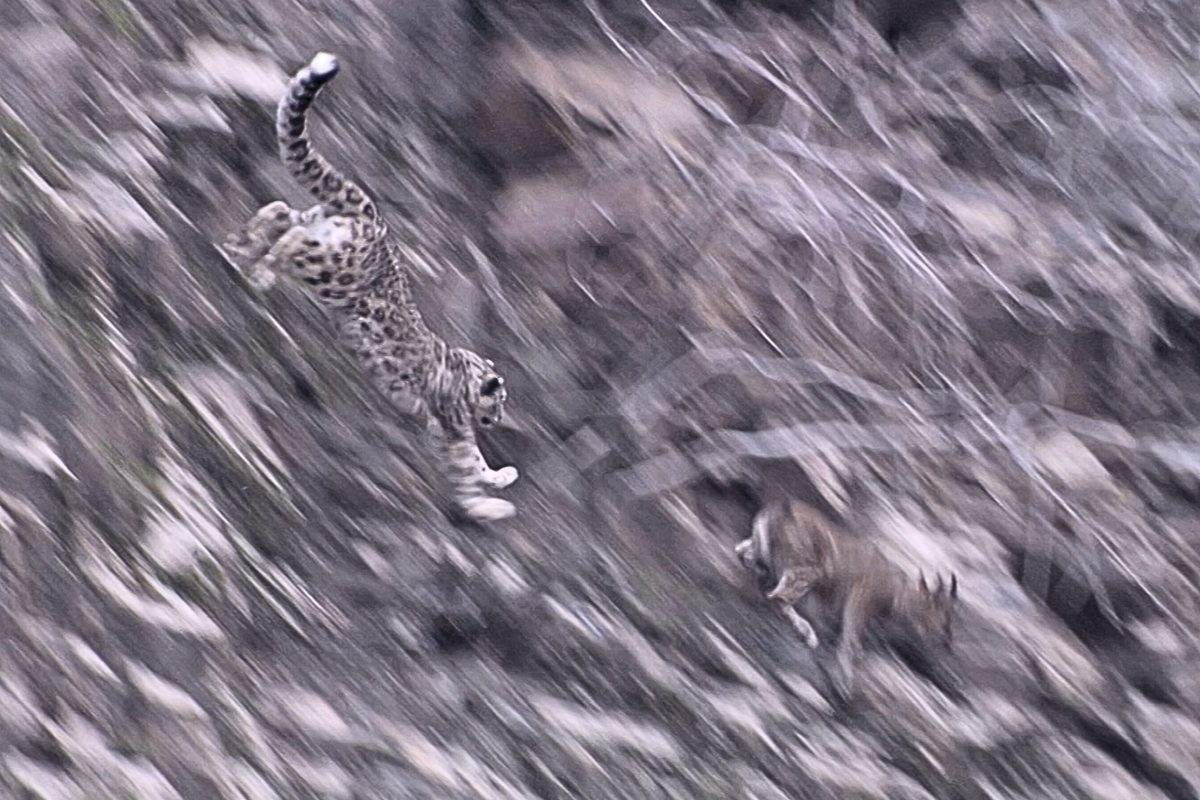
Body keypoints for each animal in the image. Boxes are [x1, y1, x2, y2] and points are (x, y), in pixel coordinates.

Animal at [221, 52, 519, 523]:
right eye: (500, 401)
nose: (497, 419)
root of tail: (373, 218)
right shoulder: (452, 429)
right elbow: (469, 465)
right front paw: (489, 505)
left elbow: (478, 464)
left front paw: (500, 478)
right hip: (332, 269)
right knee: (290, 239)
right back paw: (261, 271)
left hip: (317, 228)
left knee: (281, 211)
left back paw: (241, 245)